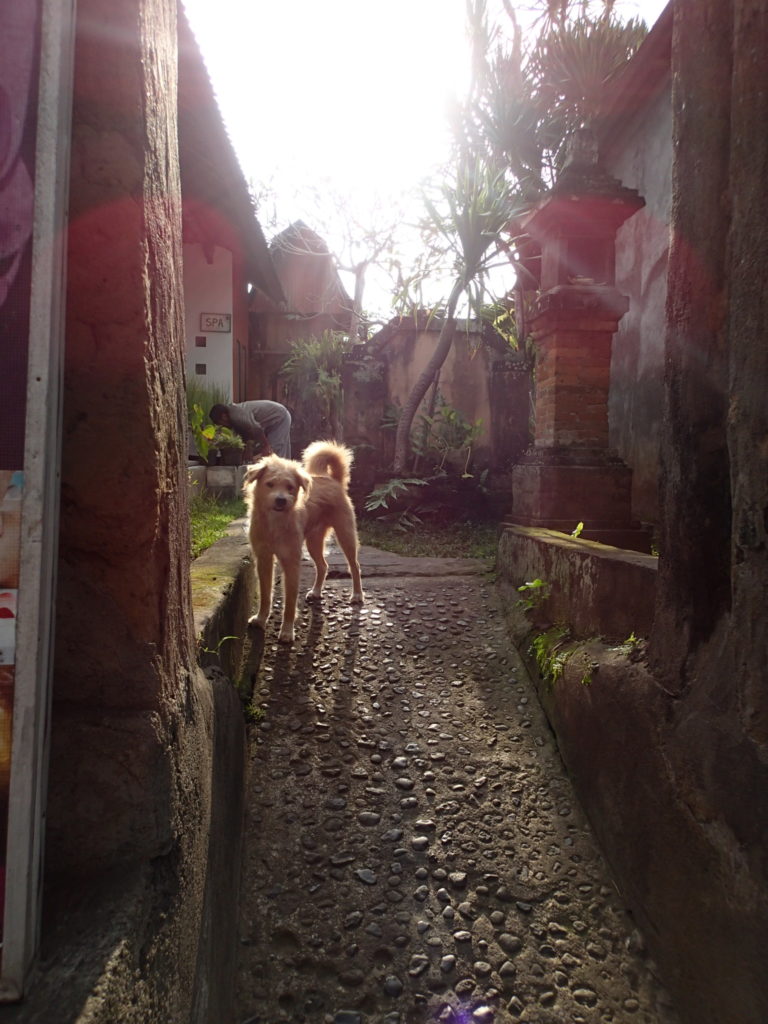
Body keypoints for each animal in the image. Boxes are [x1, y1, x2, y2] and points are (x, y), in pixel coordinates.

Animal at [244, 438, 364, 638]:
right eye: (270, 484)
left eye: (290, 487)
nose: (281, 500)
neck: (275, 523)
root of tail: (333, 480)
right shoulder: (264, 559)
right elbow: (265, 594)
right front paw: (261, 619)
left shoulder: (291, 562)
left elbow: (290, 602)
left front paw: (286, 631)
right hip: (313, 542)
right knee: (323, 566)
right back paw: (316, 591)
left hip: (345, 535)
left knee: (354, 566)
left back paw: (357, 595)